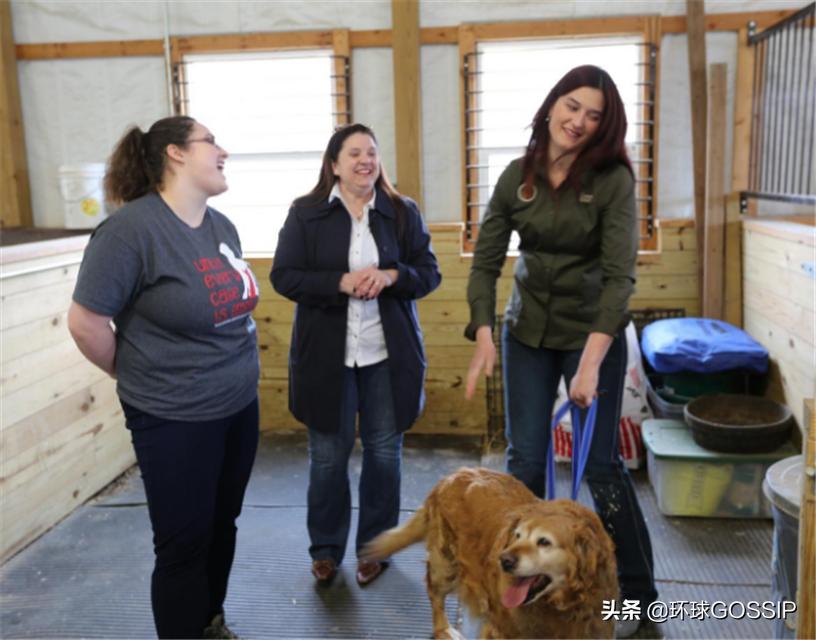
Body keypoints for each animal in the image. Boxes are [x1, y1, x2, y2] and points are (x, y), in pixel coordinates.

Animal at [364, 464, 620, 640]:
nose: (503, 561)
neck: (561, 606)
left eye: (544, 542)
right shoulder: (501, 630)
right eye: (517, 535)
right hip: (445, 565)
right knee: (435, 595)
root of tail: (452, 475)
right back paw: (443, 628)